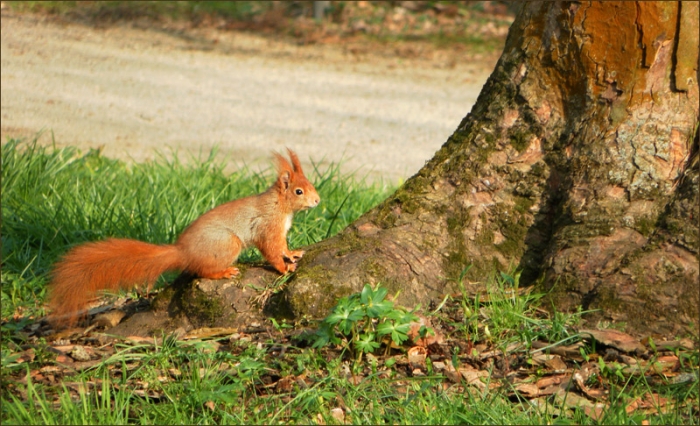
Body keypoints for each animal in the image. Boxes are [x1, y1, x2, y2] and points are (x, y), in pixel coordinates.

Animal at [48, 149, 320, 327]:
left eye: (311, 184)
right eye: (299, 191)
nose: (318, 200)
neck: (281, 206)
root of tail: (183, 251)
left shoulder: (280, 232)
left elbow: (282, 247)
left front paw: (293, 253)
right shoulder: (268, 226)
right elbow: (271, 250)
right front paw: (284, 268)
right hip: (227, 244)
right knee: (200, 270)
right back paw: (223, 272)